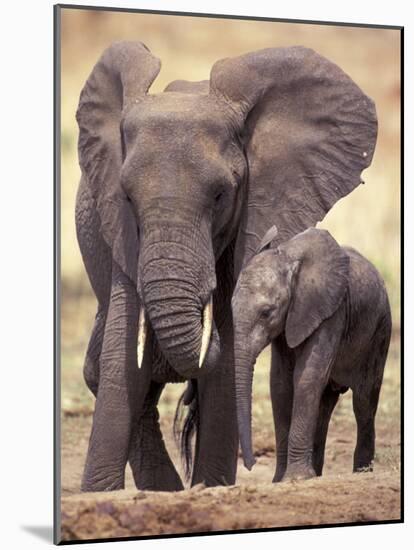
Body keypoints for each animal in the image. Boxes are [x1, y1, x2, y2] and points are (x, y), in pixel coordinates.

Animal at [74, 41, 376, 494]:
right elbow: (122, 359)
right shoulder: (121, 236)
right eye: (126, 196)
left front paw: (211, 487)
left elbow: (224, 371)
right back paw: (164, 490)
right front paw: (97, 494)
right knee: (102, 370)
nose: (206, 319)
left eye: (220, 195)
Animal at [233, 229, 392, 484]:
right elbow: (280, 385)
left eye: (267, 313)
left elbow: (306, 377)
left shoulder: (331, 311)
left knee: (364, 402)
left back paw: (361, 473)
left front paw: (295, 479)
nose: (251, 464)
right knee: (325, 407)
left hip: (380, 332)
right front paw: (281, 480)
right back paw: (316, 474)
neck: (289, 257)